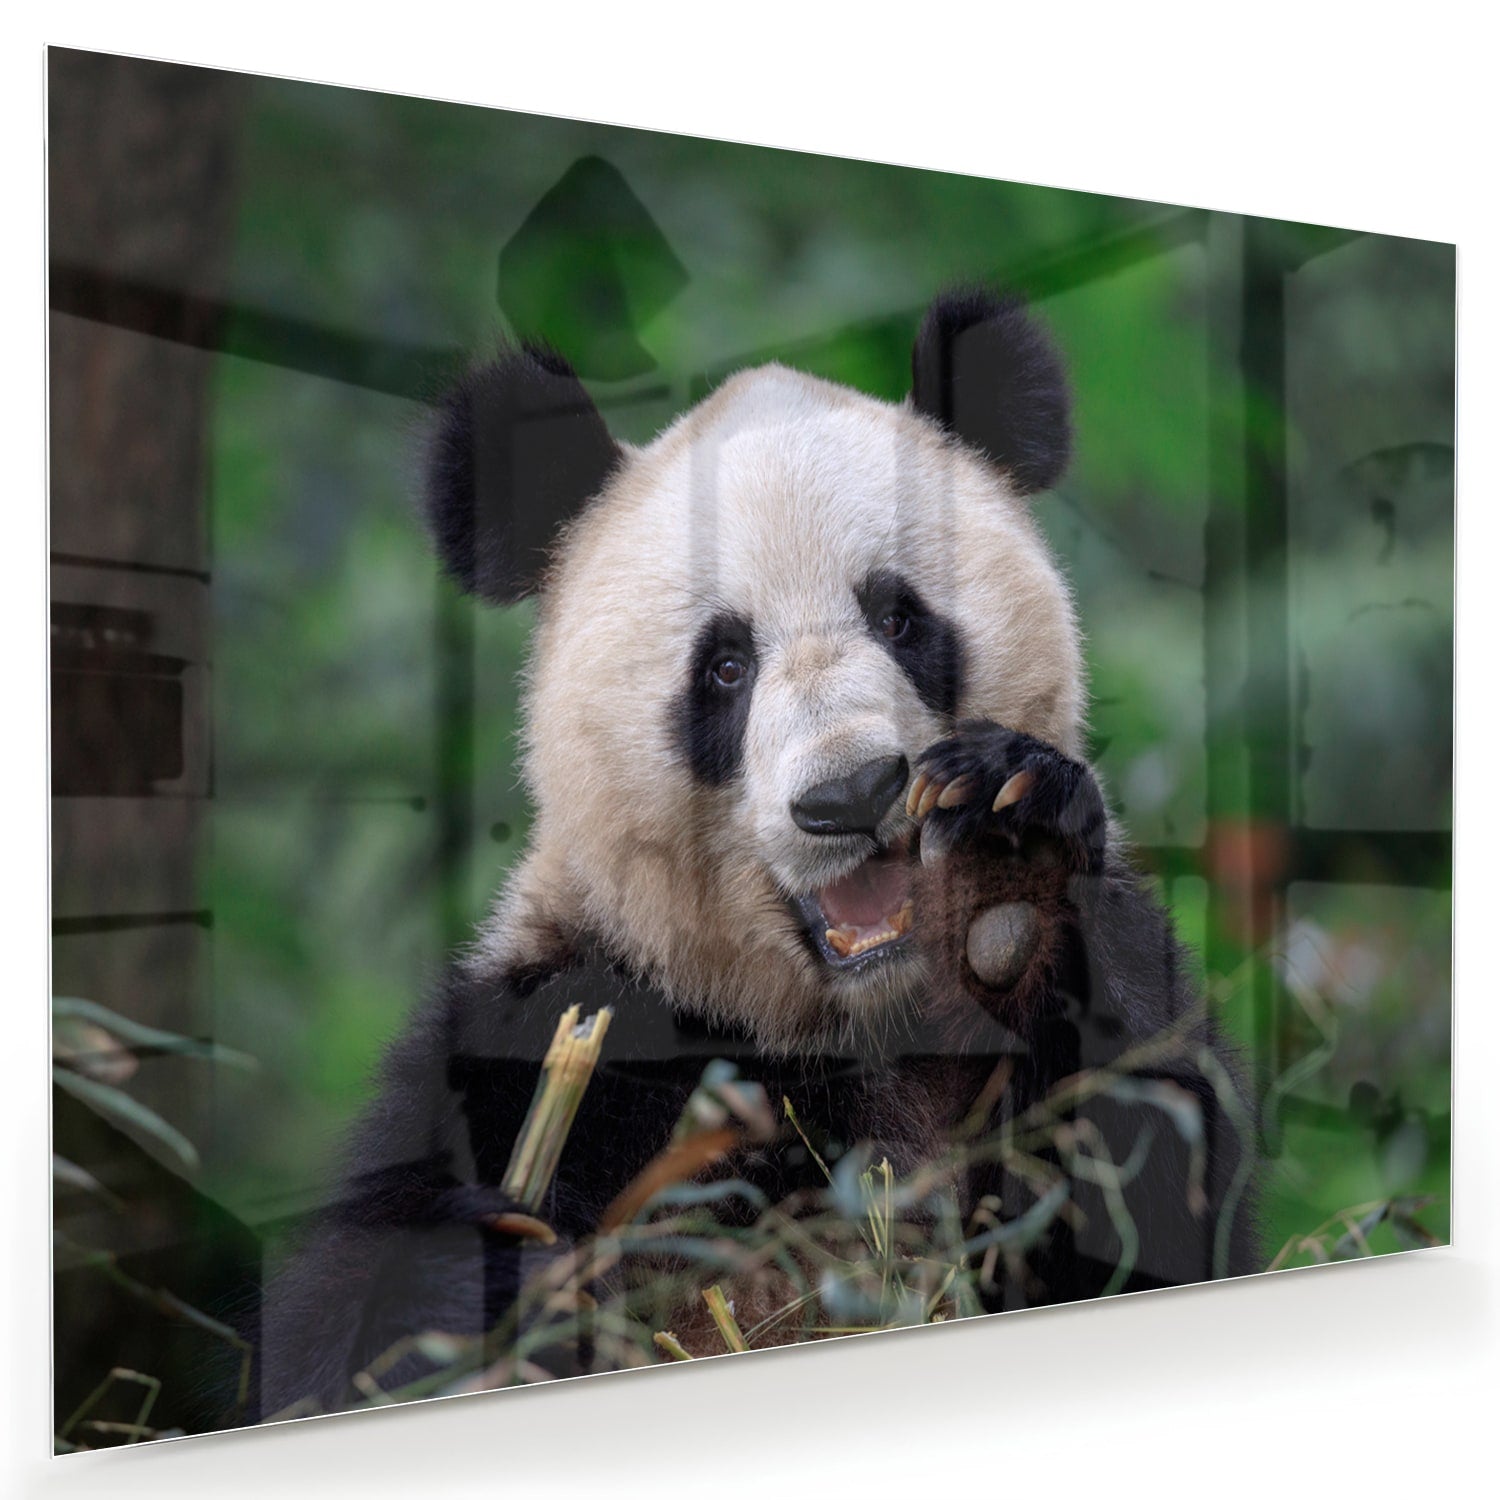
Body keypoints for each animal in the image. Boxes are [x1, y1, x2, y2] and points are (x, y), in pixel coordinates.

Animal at [256, 290, 1260, 1419]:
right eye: (725, 667)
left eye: (900, 616)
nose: (852, 795)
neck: (836, 1029)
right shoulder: (559, 1025)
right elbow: (330, 1342)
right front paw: (479, 1276)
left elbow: (1152, 1211)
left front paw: (1010, 872)